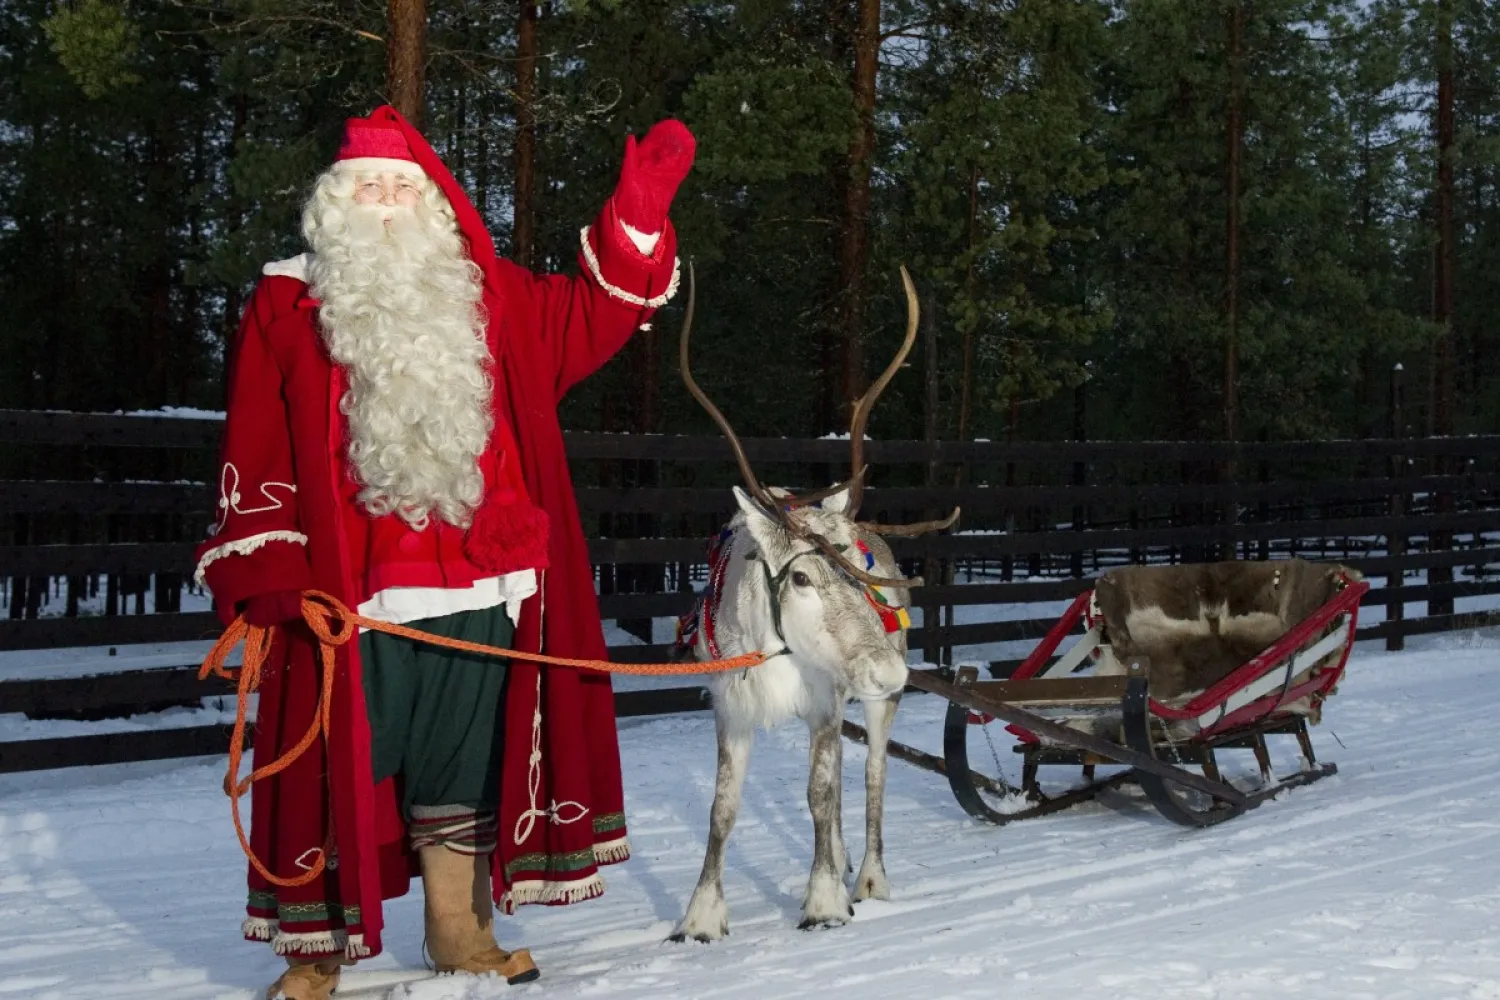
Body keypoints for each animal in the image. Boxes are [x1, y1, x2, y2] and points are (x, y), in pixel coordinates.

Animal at [669, 266, 959, 942]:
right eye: (800, 577)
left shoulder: (826, 702)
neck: (773, 650)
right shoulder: (731, 707)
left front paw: (824, 901)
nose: (889, 669)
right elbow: (723, 808)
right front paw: (701, 917)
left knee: (872, 774)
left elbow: (821, 793)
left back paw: (868, 877)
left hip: (873, 707)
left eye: (857, 567)